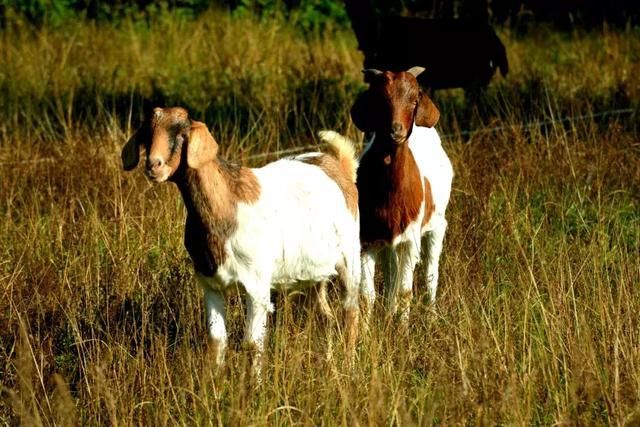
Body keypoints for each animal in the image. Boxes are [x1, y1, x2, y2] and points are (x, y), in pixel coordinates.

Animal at [119, 108, 360, 372]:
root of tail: (339, 166)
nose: (154, 164)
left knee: (350, 311)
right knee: (326, 317)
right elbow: (217, 342)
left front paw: (254, 383)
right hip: (314, 275)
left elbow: (252, 344)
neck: (227, 203)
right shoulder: (210, 285)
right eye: (147, 134)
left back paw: (349, 365)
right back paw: (330, 366)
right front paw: (214, 381)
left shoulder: (257, 287)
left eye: (182, 134)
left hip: (349, 257)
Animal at [350, 67, 456, 320]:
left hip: (437, 225)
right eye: (379, 99)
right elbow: (368, 295)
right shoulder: (367, 239)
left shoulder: (410, 240)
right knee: (392, 276)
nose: (396, 130)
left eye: (414, 99)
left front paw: (403, 327)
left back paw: (431, 315)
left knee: (430, 274)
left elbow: (406, 291)